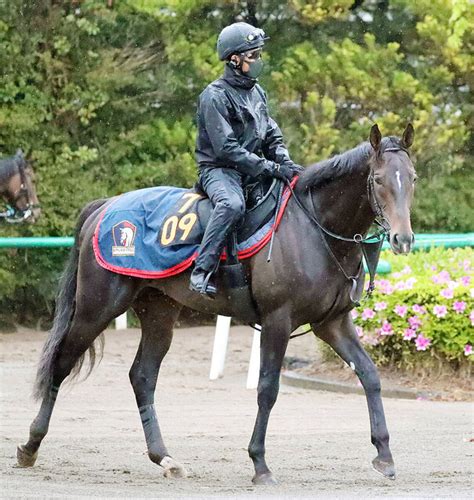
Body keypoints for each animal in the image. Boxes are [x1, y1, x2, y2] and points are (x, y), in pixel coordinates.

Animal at [18, 124, 414, 484]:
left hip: (159, 313)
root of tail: (106, 207)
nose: (403, 238)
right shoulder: (278, 321)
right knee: (61, 363)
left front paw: (384, 454)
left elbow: (370, 376)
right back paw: (30, 446)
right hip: (96, 308)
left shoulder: (332, 323)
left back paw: (164, 458)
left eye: (412, 178)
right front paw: (259, 463)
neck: (313, 226)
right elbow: (267, 389)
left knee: (142, 377)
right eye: (378, 179)